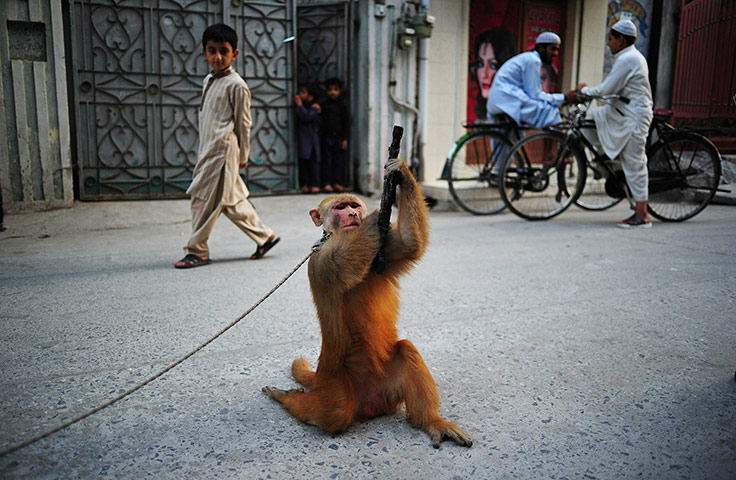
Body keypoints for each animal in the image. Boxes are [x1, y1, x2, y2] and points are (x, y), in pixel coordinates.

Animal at [262, 157, 472, 448]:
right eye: (341, 208)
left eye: (353, 205)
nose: (353, 215)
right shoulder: (321, 259)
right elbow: (344, 261)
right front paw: (377, 214)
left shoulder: (383, 249)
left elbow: (409, 244)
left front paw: (401, 174)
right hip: (334, 385)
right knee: (334, 413)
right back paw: (287, 398)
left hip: (386, 385)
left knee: (406, 350)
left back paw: (430, 421)